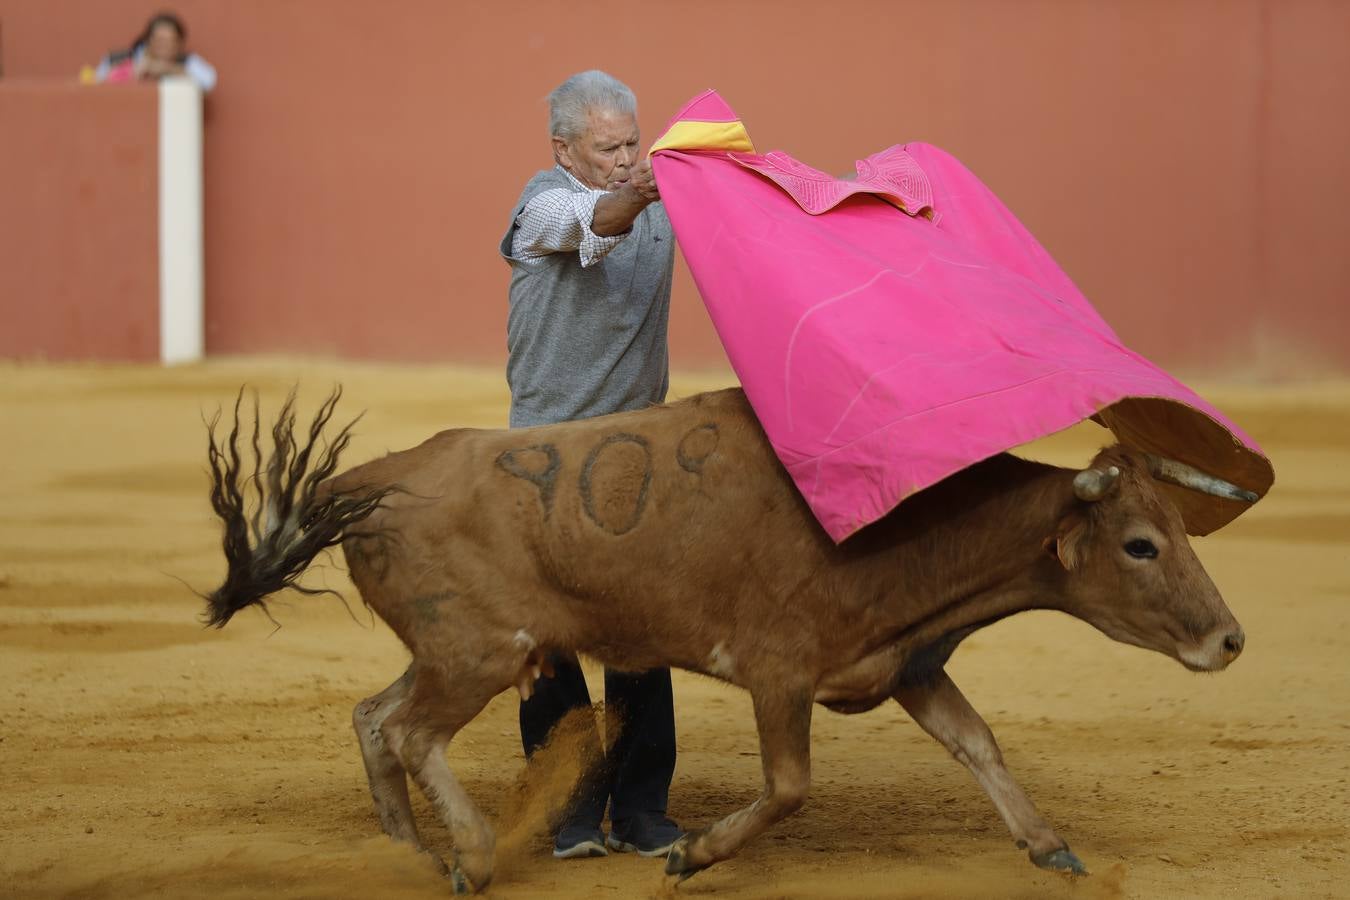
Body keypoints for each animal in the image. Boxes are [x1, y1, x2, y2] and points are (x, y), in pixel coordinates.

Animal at [202, 388, 1252, 895]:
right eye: (1141, 543)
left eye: (1181, 530)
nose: (1231, 640)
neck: (900, 531)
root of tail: (373, 477)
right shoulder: (779, 674)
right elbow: (789, 787)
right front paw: (689, 856)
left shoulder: (907, 666)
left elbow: (979, 745)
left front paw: (1050, 848)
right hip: (477, 656)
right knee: (408, 731)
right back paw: (470, 857)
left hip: (445, 652)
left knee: (371, 718)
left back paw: (404, 853)